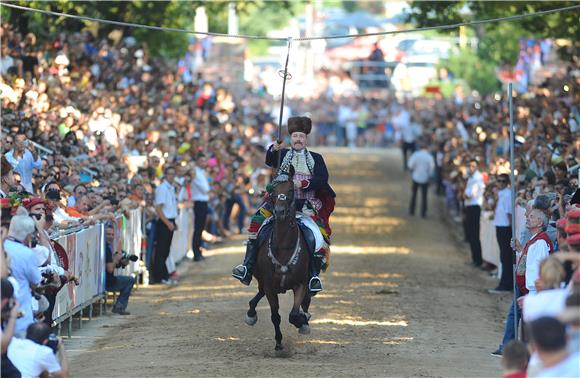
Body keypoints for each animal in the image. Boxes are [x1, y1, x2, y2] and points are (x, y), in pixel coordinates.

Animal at [242, 167, 310, 352]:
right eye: (272, 191)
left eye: (291, 190)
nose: (279, 212)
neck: (283, 248)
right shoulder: (270, 286)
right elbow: (275, 316)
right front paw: (279, 342)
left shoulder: (301, 283)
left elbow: (294, 314)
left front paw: (302, 321)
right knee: (259, 292)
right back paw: (251, 313)